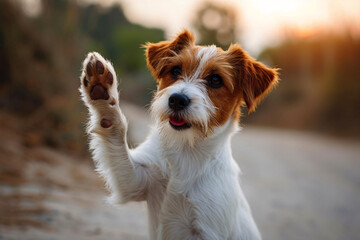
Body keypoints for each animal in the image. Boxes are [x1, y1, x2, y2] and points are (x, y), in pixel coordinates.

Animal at [80, 30, 278, 240]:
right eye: (175, 70)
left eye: (216, 80)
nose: (177, 100)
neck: (186, 150)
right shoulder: (135, 181)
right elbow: (115, 129)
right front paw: (101, 90)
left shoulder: (208, 230)